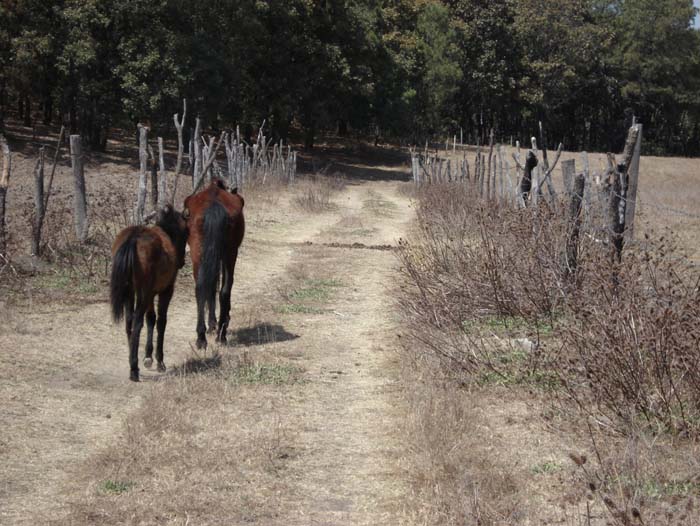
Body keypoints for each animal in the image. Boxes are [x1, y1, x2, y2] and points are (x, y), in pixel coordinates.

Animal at [109, 205, 188, 382]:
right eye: (185, 232)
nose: (181, 262)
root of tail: (133, 238)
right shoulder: (166, 290)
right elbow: (161, 321)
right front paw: (159, 360)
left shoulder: (150, 293)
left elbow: (151, 318)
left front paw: (148, 356)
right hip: (144, 293)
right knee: (137, 321)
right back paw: (134, 369)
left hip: (131, 291)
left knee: (129, 322)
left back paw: (132, 359)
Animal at [183, 178, 245, 349]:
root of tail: (214, 206)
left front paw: (212, 323)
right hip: (228, 253)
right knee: (223, 289)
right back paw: (219, 334)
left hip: (200, 253)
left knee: (203, 288)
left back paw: (204, 337)